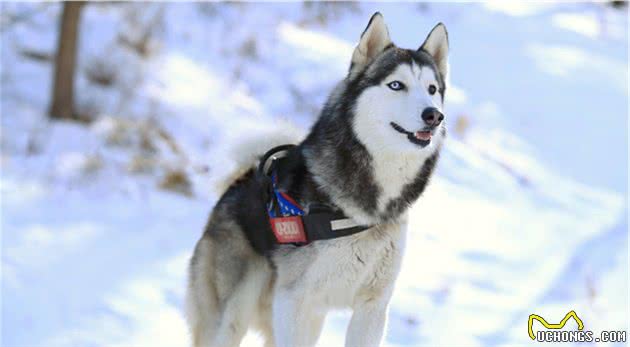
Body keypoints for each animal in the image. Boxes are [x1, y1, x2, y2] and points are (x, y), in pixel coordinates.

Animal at [186, 12, 450, 346]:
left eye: (432, 89)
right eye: (396, 85)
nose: (434, 116)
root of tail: (240, 181)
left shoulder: (373, 305)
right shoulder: (294, 302)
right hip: (232, 317)